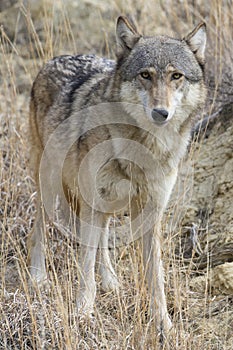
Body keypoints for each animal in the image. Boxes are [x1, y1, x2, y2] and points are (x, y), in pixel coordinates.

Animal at [27, 15, 206, 334]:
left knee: (103, 234)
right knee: (40, 226)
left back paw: (110, 280)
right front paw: (83, 314)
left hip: (104, 200)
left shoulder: (151, 210)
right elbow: (85, 268)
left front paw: (164, 324)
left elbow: (156, 277)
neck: (145, 148)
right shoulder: (92, 199)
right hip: (48, 180)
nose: (161, 113)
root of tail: (56, 58)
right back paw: (38, 275)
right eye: (145, 75)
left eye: (176, 76)